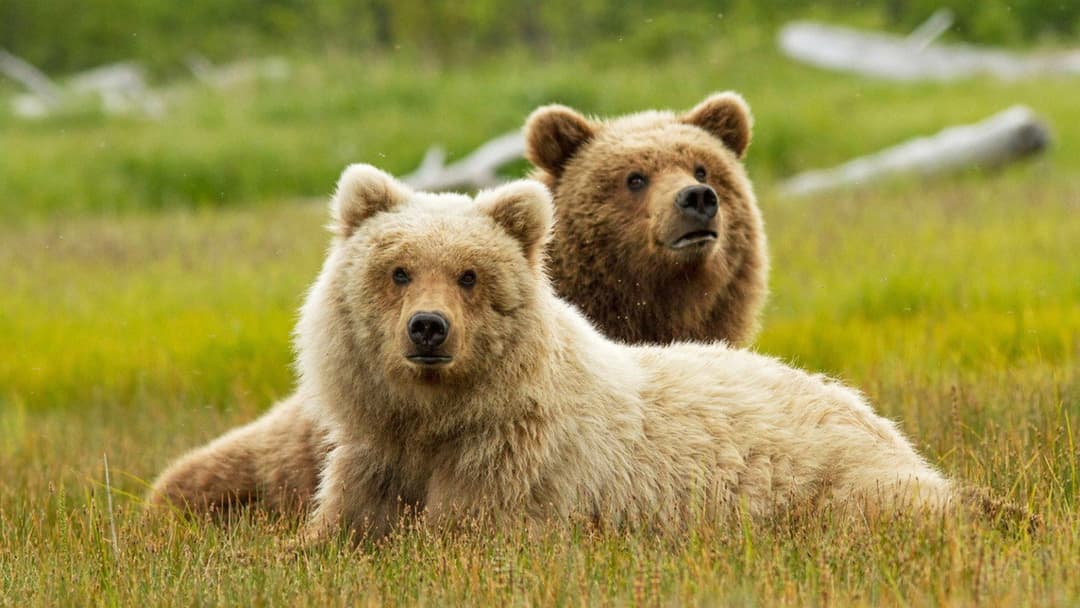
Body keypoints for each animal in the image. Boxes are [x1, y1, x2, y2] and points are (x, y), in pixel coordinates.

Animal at [291, 165, 959, 544]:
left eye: (469, 275)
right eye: (399, 271)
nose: (429, 329)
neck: (436, 419)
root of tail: (880, 420)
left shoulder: (512, 467)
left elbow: (465, 533)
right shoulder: (375, 456)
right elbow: (337, 529)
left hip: (837, 480)